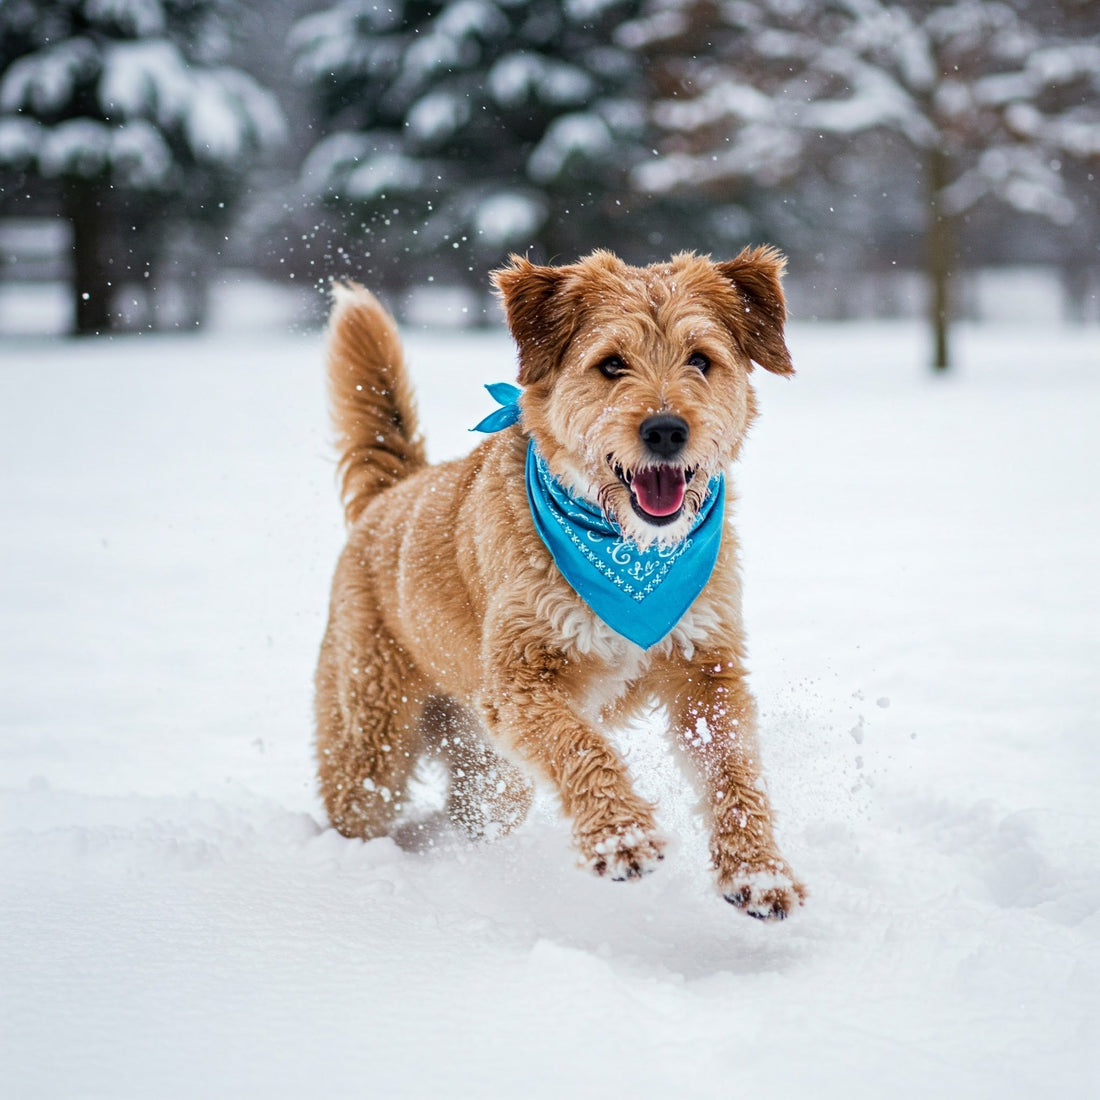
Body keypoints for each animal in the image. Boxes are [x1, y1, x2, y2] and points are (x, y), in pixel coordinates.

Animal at [314, 247, 805, 919]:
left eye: (701, 359)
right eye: (612, 363)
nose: (666, 430)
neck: (630, 553)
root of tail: (392, 494)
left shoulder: (707, 667)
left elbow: (733, 768)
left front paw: (757, 871)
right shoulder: (522, 679)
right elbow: (579, 743)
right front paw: (621, 837)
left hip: (487, 769)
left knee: (475, 811)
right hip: (370, 738)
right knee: (356, 806)